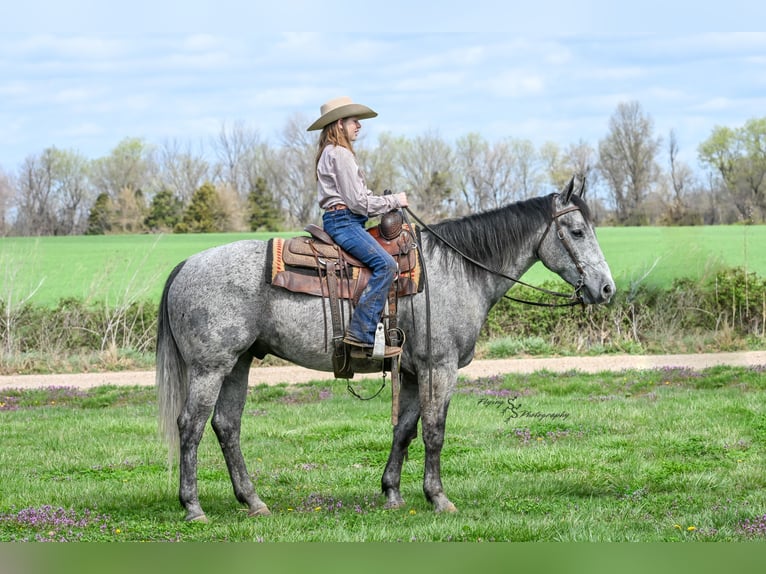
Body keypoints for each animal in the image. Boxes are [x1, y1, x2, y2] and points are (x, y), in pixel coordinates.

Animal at [156, 176, 615, 522]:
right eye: (577, 232)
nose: (606, 289)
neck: (457, 271)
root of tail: (185, 265)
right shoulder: (439, 367)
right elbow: (434, 431)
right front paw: (438, 497)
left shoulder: (410, 371)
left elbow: (405, 430)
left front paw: (392, 492)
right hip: (210, 367)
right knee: (191, 427)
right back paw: (193, 507)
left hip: (239, 364)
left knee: (226, 426)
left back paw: (252, 501)